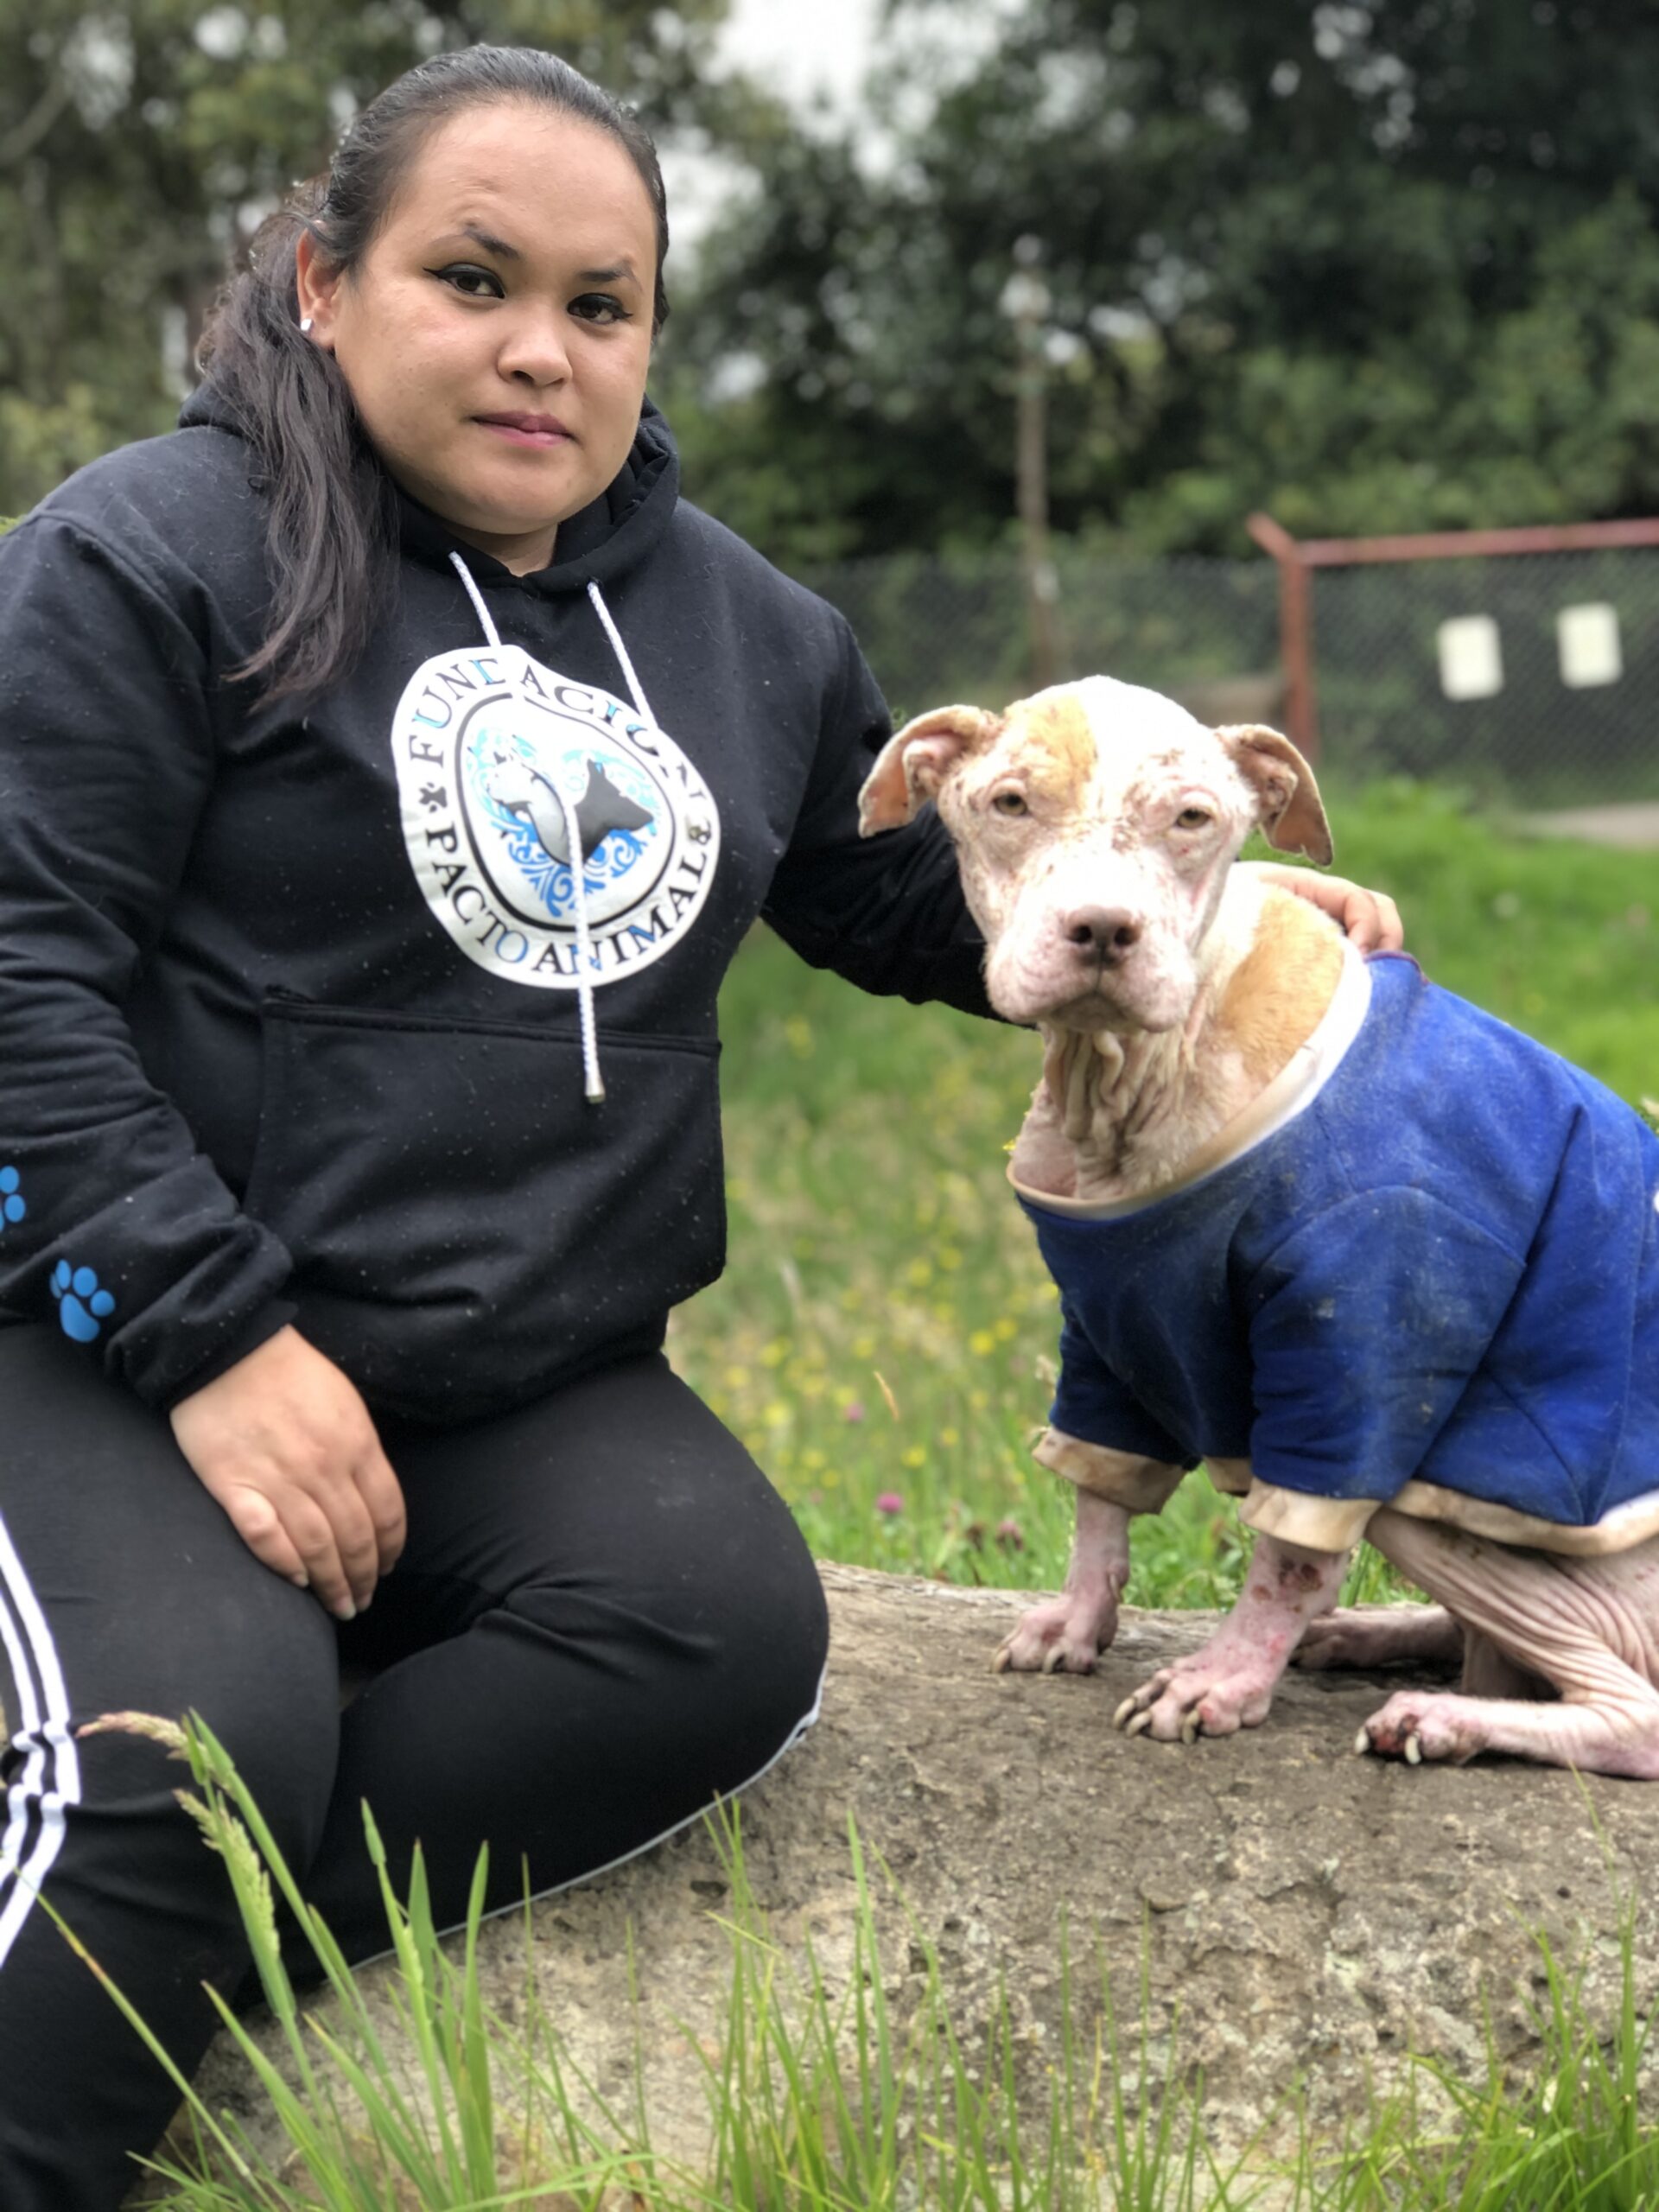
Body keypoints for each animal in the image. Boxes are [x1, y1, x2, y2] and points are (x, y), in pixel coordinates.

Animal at [857, 677, 1659, 1775]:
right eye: (1010, 803)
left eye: (1193, 819)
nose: (1102, 929)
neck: (1132, 1079)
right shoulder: (1106, 1322)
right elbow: (1100, 1494)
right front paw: (1075, 1621)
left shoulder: (1359, 1353)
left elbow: (1289, 1556)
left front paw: (1225, 1681)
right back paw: (1375, 1643)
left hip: (1451, 1502)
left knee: (1631, 1713)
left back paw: (1444, 1716)